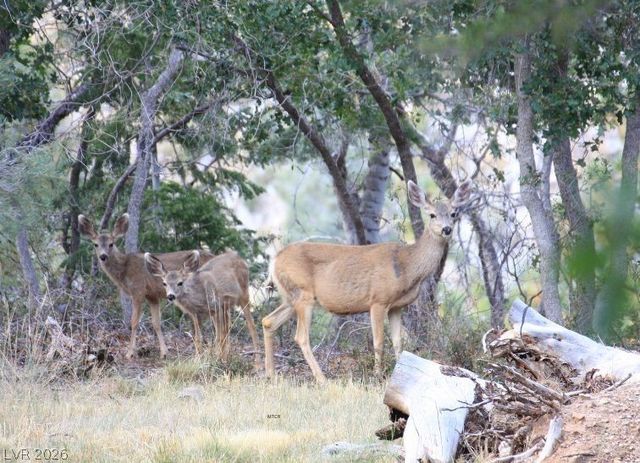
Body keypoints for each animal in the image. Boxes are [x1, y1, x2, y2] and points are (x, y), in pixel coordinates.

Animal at [78, 213, 215, 359]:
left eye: (111, 244)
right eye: (95, 244)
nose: (103, 256)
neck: (124, 270)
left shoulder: (138, 290)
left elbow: (134, 322)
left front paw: (130, 353)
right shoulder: (152, 295)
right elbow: (156, 323)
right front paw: (164, 352)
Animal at [263, 179, 473, 383]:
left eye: (453, 213)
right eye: (431, 215)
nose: (447, 229)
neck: (406, 266)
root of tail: (275, 260)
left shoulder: (397, 306)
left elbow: (398, 342)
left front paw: (400, 372)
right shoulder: (378, 299)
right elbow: (378, 341)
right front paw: (377, 375)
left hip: (290, 297)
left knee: (268, 321)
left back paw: (271, 375)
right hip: (302, 292)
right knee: (301, 336)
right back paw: (322, 379)